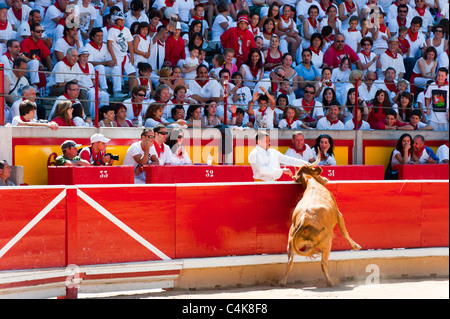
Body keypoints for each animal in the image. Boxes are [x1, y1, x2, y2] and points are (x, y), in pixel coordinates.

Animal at [280, 156, 360, 288]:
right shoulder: (339, 214)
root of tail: (305, 219)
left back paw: (282, 282)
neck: (312, 184)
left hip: (292, 242)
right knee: (323, 263)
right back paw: (330, 282)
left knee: (289, 261)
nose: (326, 179)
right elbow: (345, 232)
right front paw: (356, 246)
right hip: (327, 243)